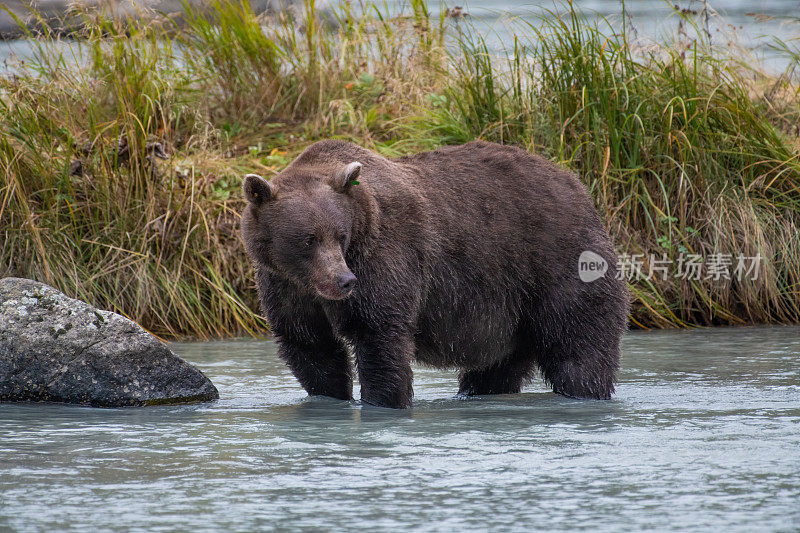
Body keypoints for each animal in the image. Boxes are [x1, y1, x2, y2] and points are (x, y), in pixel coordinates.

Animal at [241, 138, 628, 408]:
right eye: (308, 239)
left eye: (341, 235)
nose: (344, 281)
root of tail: (577, 184)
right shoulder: (285, 286)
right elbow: (311, 347)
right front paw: (332, 396)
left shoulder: (385, 257)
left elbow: (380, 336)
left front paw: (383, 400)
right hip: (509, 311)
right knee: (498, 366)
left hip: (554, 261)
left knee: (579, 345)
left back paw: (584, 393)